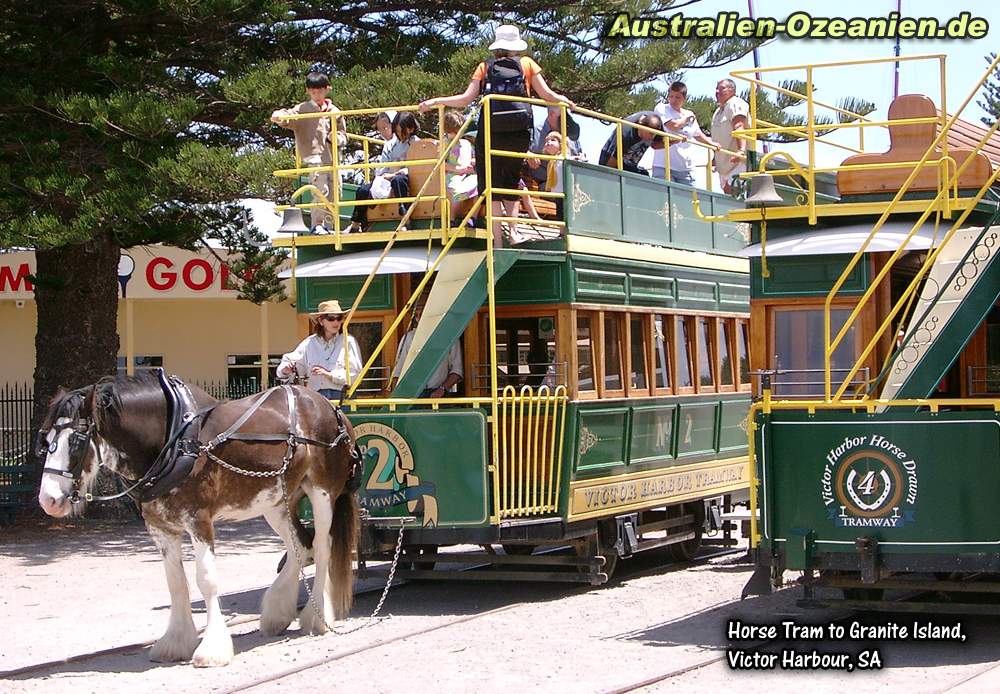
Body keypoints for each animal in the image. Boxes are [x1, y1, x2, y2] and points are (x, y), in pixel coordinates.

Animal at [37, 376, 362, 668]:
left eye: (76, 441)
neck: (176, 441)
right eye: (46, 441)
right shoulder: (160, 528)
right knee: (300, 546)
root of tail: (330, 408)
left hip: (321, 492)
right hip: (274, 501)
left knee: (322, 545)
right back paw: (277, 611)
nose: (48, 499)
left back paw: (317, 616)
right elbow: (176, 583)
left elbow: (205, 580)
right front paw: (175, 641)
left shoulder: (199, 521)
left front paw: (212, 649)